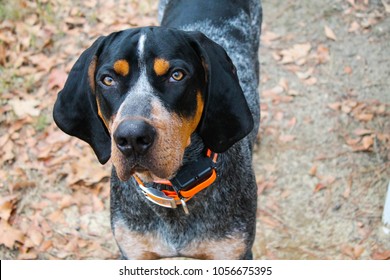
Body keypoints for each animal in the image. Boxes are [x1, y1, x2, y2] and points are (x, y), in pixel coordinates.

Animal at [53, 0, 262, 260]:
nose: (132, 137)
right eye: (108, 80)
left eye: (177, 75)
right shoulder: (133, 251)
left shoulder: (233, 253)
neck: (171, 190)